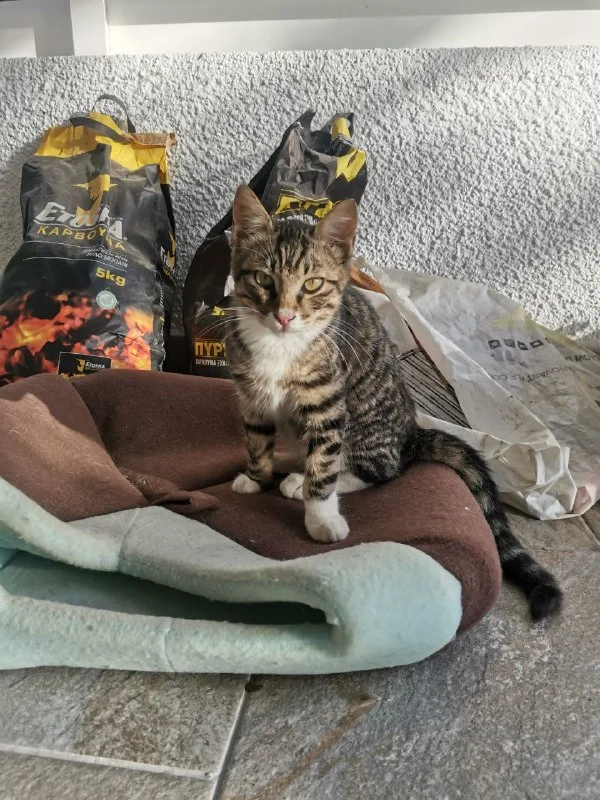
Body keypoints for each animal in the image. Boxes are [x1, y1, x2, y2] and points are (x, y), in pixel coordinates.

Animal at [225, 184, 563, 621]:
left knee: (381, 468)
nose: (284, 316)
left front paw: (320, 516)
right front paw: (254, 476)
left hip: (365, 423)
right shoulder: (251, 393)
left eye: (313, 284)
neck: (279, 346)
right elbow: (255, 436)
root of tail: (411, 433)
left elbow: (325, 463)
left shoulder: (327, 398)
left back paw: (303, 482)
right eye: (263, 278)